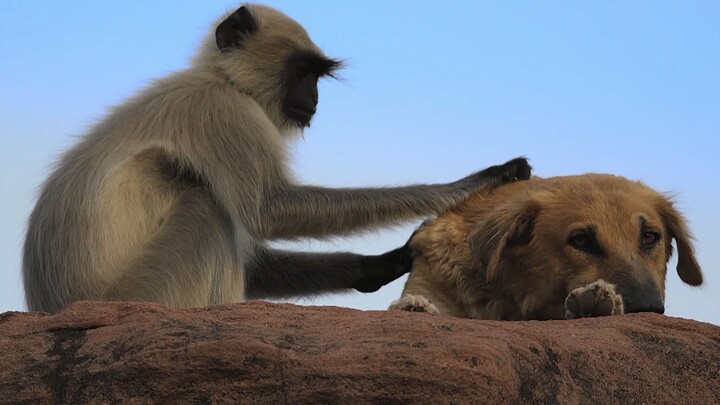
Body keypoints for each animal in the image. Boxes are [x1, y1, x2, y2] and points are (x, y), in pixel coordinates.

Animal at [22, 3, 532, 312]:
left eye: (317, 77)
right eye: (303, 72)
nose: (314, 98)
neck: (222, 80)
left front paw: (389, 262)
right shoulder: (225, 111)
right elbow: (269, 211)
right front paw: (479, 180)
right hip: (144, 294)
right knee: (207, 207)